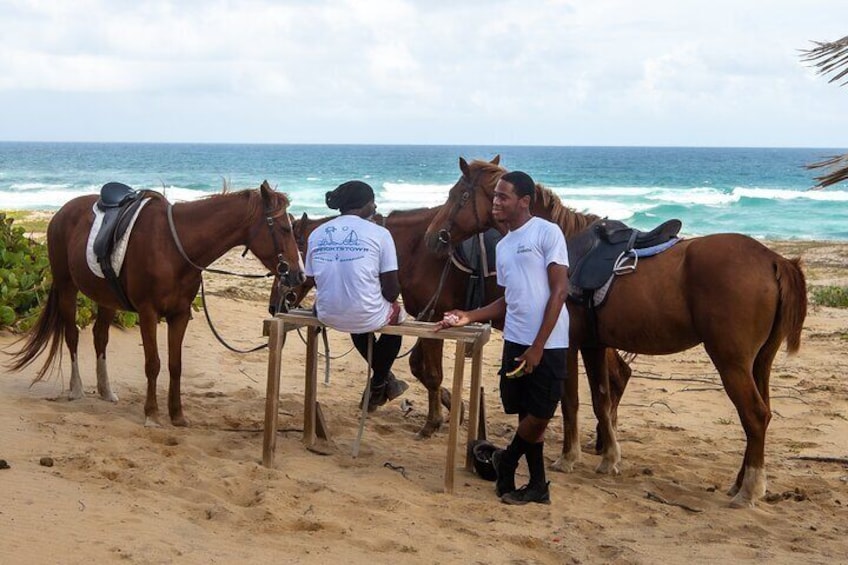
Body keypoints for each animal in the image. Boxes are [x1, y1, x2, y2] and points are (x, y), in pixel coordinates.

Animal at [7, 183, 304, 426]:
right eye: (284, 228)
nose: (298, 276)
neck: (175, 248)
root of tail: (61, 213)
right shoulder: (148, 313)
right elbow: (153, 363)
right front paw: (151, 413)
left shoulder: (179, 315)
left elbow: (175, 365)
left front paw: (177, 414)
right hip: (67, 287)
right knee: (72, 336)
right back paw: (76, 388)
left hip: (107, 298)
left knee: (100, 337)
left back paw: (106, 390)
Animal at [278, 203, 628, 440]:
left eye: (297, 250)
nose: (280, 298)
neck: (417, 248)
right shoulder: (427, 316)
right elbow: (420, 368)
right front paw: (448, 407)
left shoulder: (433, 314)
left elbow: (429, 372)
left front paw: (434, 421)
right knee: (618, 375)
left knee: (615, 377)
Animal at [424, 158, 808, 506]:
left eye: (458, 195)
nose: (433, 237)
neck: (563, 245)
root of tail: (774, 259)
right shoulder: (595, 345)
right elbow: (602, 401)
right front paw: (609, 459)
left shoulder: (568, 345)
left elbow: (571, 401)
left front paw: (569, 457)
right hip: (759, 362)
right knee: (761, 415)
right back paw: (741, 482)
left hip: (730, 361)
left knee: (754, 415)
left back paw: (749, 490)